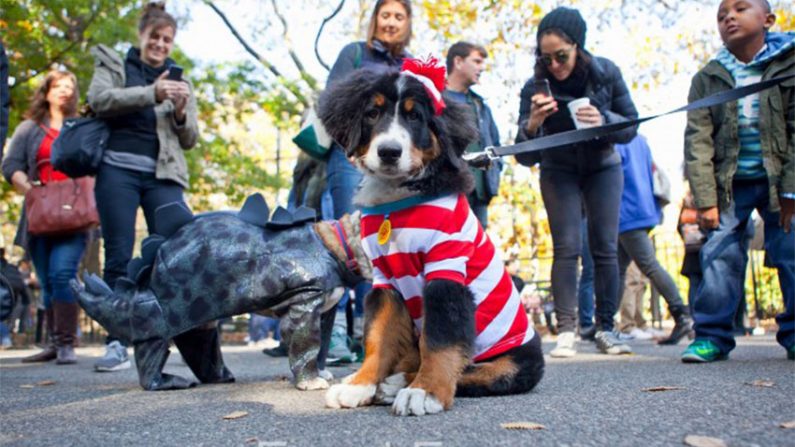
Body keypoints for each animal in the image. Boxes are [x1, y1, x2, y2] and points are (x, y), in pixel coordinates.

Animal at [318, 61, 548, 418]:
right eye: (372, 113)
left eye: (415, 117)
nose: (389, 152)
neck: (399, 201)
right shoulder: (385, 282)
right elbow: (378, 337)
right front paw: (360, 384)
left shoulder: (446, 269)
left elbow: (440, 341)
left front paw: (425, 391)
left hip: (518, 362)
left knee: (475, 370)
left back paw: (402, 385)